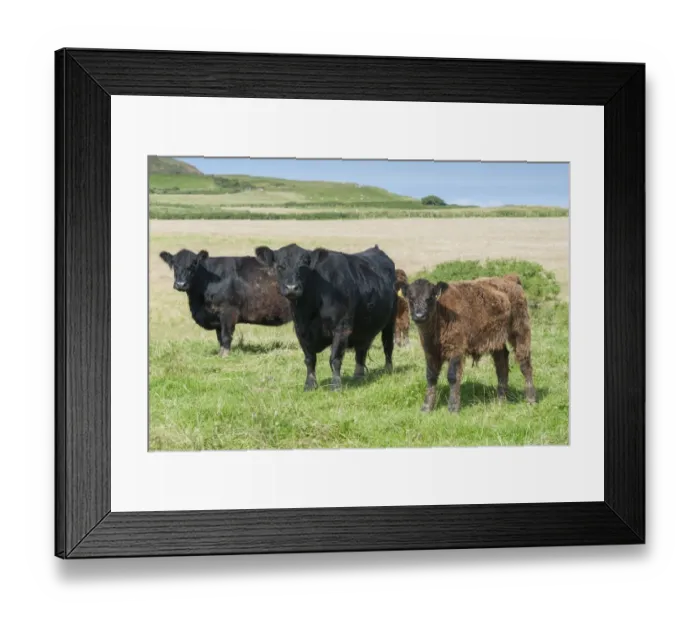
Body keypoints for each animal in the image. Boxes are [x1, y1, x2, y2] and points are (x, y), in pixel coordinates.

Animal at [159, 248, 292, 357]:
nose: (181, 284)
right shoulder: (217, 317)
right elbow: (219, 338)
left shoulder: (228, 312)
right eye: (174, 265)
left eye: (193, 265)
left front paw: (225, 355)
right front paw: (220, 353)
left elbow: (226, 335)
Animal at [254, 243, 398, 391]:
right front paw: (310, 385)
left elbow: (335, 358)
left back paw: (388, 369)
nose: (292, 288)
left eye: (304, 265)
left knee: (387, 344)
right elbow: (309, 359)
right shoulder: (301, 330)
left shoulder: (342, 327)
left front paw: (335, 385)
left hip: (390, 321)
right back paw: (358, 376)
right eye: (280, 266)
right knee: (361, 350)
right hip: (364, 326)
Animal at [396, 274, 536, 413]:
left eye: (430, 297)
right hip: (496, 339)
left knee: (525, 363)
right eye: (410, 298)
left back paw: (531, 399)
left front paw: (453, 407)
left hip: (520, 329)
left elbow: (452, 376)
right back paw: (501, 400)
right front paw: (426, 407)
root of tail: (509, 278)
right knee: (502, 363)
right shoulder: (430, 351)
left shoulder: (456, 348)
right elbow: (431, 376)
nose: (419, 315)